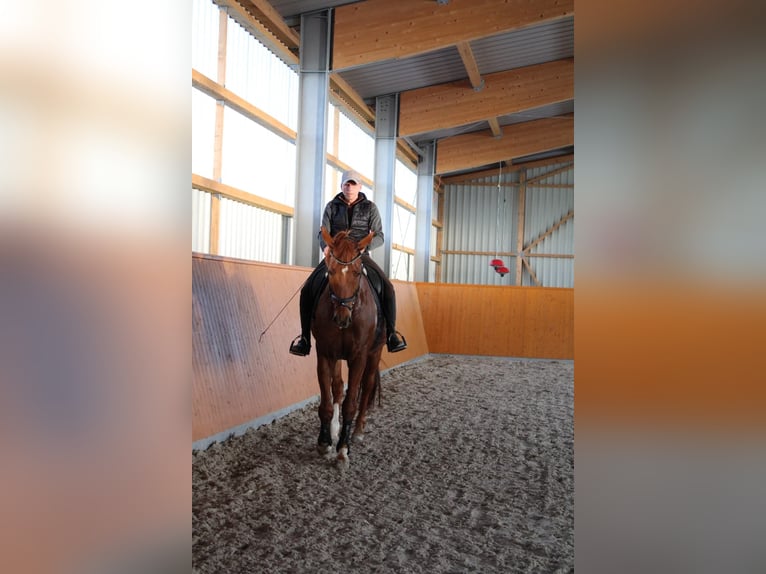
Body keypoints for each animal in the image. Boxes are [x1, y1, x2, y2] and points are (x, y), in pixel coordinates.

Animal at [312, 227, 385, 462]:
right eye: (331, 271)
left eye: (356, 273)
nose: (342, 319)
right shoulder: (325, 353)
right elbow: (327, 401)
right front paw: (325, 442)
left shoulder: (359, 356)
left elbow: (351, 403)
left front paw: (343, 449)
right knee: (337, 387)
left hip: (374, 352)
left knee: (368, 385)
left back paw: (358, 431)